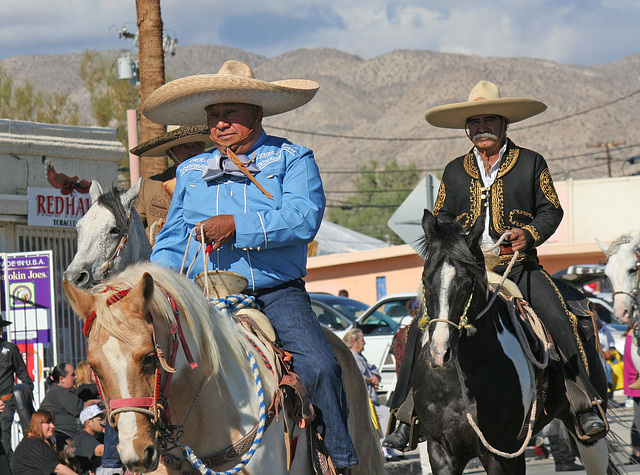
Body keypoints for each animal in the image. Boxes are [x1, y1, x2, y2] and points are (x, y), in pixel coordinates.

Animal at [410, 211, 616, 475]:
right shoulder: (441, 451)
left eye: (467, 282)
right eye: (426, 280)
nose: (439, 351)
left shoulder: (498, 452)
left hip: (588, 437)